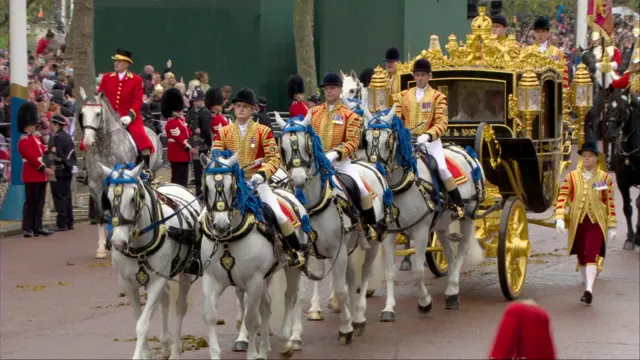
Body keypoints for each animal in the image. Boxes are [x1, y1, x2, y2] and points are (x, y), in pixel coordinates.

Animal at [99, 163, 200, 360]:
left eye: (133, 198)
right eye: (108, 197)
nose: (118, 242)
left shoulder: (157, 281)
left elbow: (142, 324)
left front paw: (140, 355)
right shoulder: (128, 284)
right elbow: (138, 319)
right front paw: (146, 354)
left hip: (185, 271)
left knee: (180, 307)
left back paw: (175, 351)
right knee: (166, 300)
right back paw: (166, 344)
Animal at [200, 153, 308, 358]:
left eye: (232, 186)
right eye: (206, 186)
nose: (221, 226)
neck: (229, 240)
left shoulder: (254, 280)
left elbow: (251, 320)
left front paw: (252, 354)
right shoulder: (212, 280)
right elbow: (210, 316)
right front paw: (217, 353)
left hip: (292, 268)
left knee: (290, 297)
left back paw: (288, 340)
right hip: (268, 275)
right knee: (266, 306)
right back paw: (265, 348)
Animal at [274, 112, 388, 344]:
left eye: (307, 144)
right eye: (283, 147)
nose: (298, 179)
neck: (311, 207)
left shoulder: (338, 251)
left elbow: (340, 289)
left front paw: (345, 329)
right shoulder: (305, 255)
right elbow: (300, 294)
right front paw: (295, 337)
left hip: (370, 242)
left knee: (364, 274)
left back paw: (359, 316)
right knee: (352, 278)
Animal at [360, 106, 484, 312]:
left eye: (389, 140)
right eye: (366, 139)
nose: (376, 170)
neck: (402, 186)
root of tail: (466, 151)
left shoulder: (420, 231)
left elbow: (418, 271)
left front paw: (425, 301)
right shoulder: (390, 233)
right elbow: (390, 271)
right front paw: (388, 308)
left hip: (467, 216)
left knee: (463, 249)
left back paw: (453, 289)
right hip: (442, 223)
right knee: (449, 252)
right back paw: (451, 290)